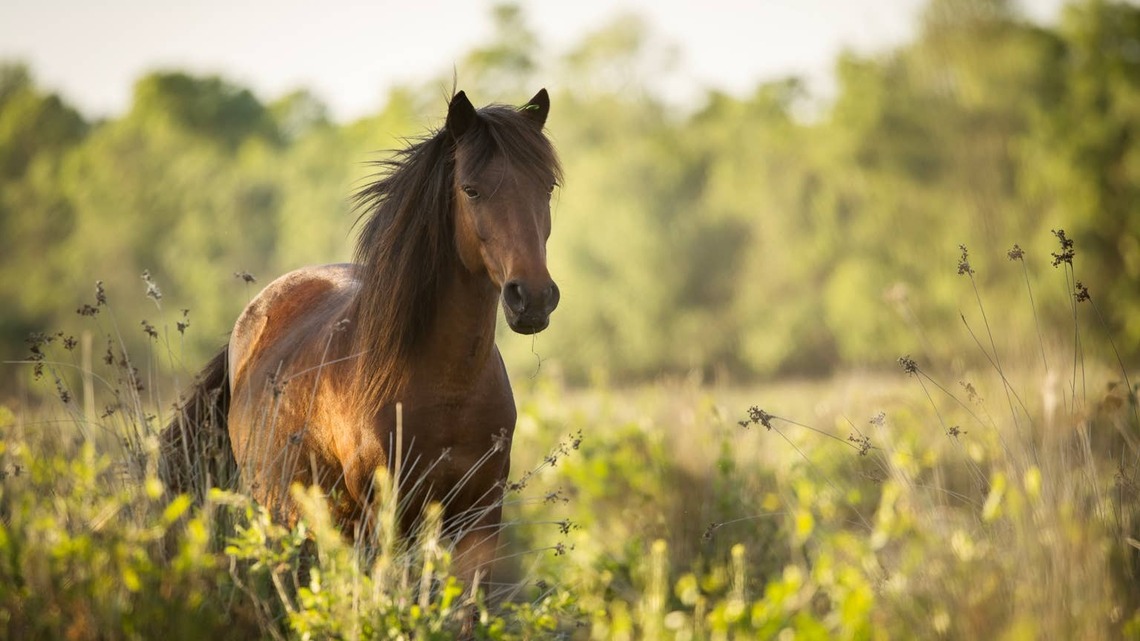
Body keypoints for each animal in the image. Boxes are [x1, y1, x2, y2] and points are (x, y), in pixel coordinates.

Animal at [160, 88, 562, 595]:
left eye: (546, 187)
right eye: (471, 189)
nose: (533, 298)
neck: (446, 386)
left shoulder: (479, 517)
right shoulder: (383, 516)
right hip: (286, 517)